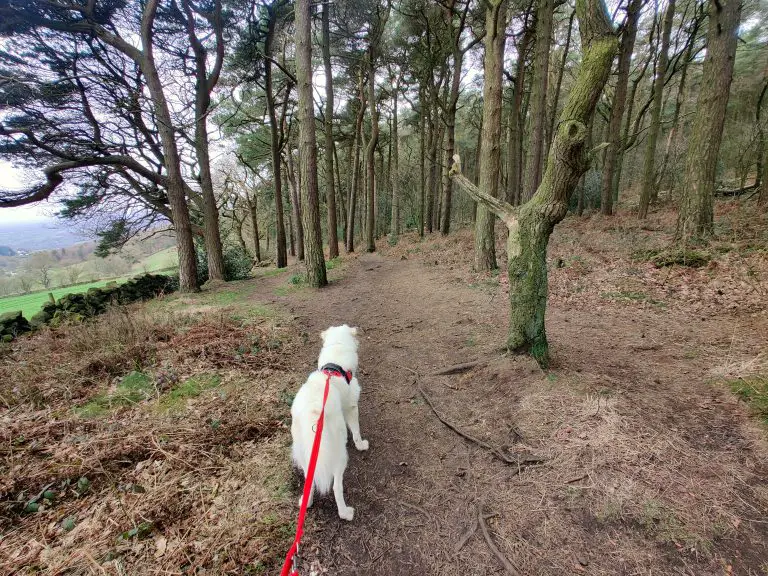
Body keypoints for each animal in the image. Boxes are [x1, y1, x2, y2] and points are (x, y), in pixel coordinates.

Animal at [292, 324, 368, 520]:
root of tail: (314, 411)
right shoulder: (351, 406)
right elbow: (356, 430)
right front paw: (361, 445)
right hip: (339, 453)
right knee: (336, 486)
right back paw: (345, 513)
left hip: (304, 452)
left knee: (309, 480)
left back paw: (306, 501)